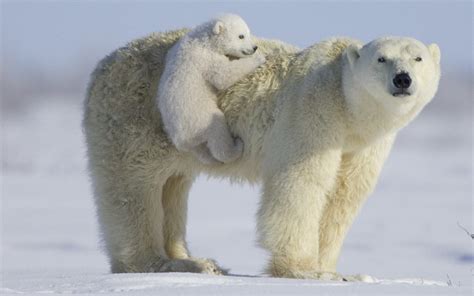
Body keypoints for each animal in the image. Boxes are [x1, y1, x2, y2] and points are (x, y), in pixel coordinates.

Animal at [84, 30, 440, 280]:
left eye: (418, 58)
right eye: (381, 58)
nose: (402, 79)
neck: (347, 108)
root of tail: (101, 66)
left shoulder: (364, 145)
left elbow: (343, 196)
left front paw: (334, 269)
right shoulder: (313, 113)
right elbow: (301, 185)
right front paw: (304, 270)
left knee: (173, 185)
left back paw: (194, 260)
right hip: (135, 116)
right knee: (134, 189)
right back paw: (158, 262)